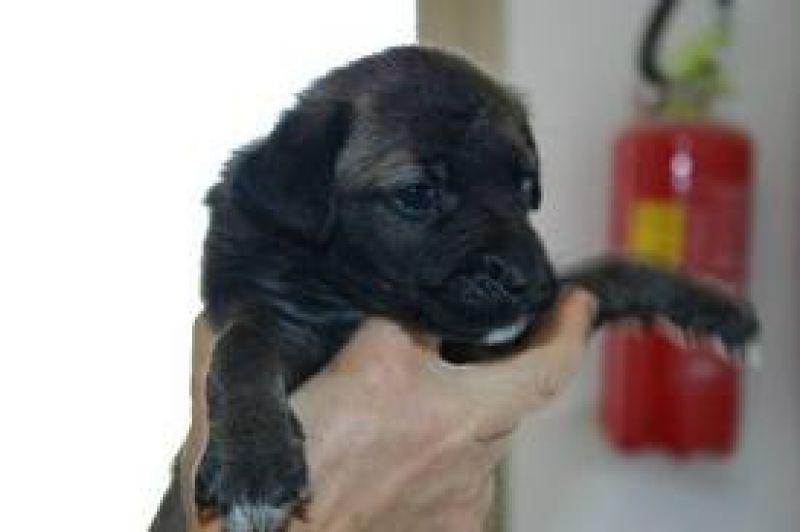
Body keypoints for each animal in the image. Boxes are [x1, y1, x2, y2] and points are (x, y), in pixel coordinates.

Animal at [150, 45, 756, 532]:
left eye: (525, 186)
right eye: (417, 193)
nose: (530, 281)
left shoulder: (488, 343)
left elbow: (603, 272)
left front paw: (708, 306)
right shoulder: (274, 317)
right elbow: (244, 345)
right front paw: (254, 462)